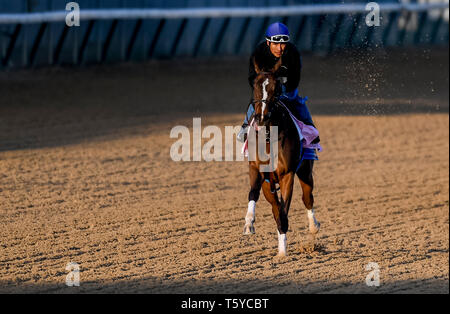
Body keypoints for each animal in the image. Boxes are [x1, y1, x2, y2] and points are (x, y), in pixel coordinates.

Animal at [243, 57, 320, 256]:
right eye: (255, 85)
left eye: (276, 88)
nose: (262, 117)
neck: (269, 134)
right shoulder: (258, 171)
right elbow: (255, 194)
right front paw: (249, 223)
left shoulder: (287, 174)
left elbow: (284, 211)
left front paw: (283, 252)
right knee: (275, 206)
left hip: (305, 170)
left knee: (307, 198)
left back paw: (313, 226)